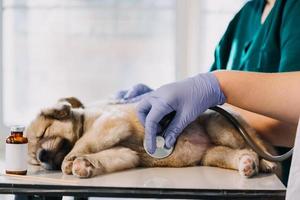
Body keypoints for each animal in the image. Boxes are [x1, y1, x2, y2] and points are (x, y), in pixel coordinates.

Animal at [25, 97, 278, 178]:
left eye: (44, 133)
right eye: (35, 159)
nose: (42, 156)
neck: (85, 121)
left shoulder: (111, 122)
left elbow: (82, 143)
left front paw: (72, 160)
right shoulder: (125, 154)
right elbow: (105, 157)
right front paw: (84, 166)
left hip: (220, 128)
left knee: (254, 147)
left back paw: (266, 162)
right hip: (213, 154)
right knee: (243, 153)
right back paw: (248, 164)